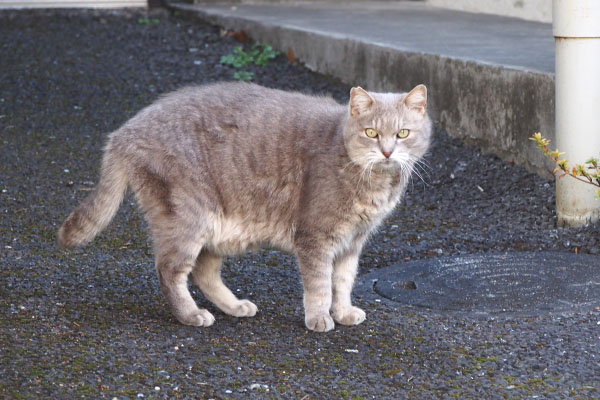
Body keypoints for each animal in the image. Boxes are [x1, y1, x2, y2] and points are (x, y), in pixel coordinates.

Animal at [59, 81, 432, 332]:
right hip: (188, 215)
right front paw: (319, 317)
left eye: (402, 133)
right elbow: (319, 284)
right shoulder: (316, 237)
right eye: (371, 132)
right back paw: (191, 315)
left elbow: (343, 282)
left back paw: (235, 306)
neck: (374, 183)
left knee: (204, 271)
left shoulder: (352, 243)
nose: (387, 152)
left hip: (215, 228)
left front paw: (343, 312)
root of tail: (124, 131)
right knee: (170, 270)